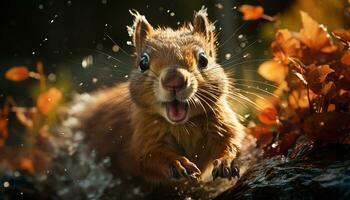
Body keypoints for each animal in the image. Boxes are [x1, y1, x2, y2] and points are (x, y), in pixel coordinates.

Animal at [80, 7, 245, 183]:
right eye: (143, 63)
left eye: (203, 59)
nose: (174, 81)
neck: (184, 125)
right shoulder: (143, 137)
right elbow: (149, 157)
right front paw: (178, 163)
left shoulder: (222, 121)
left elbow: (232, 141)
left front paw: (226, 161)